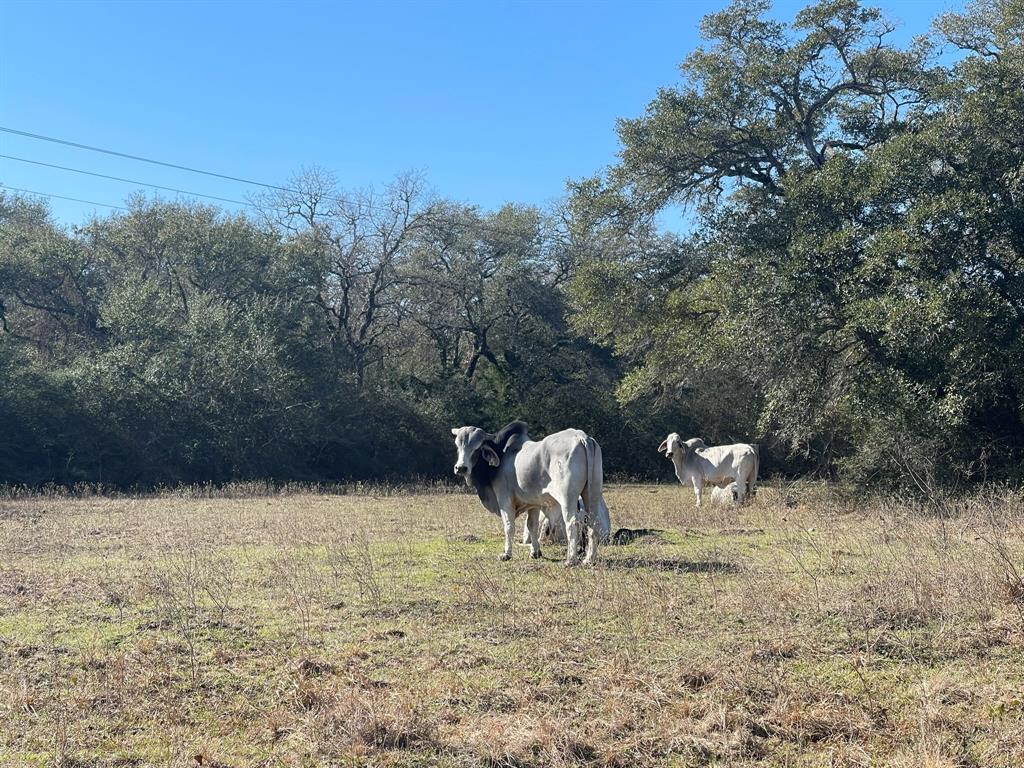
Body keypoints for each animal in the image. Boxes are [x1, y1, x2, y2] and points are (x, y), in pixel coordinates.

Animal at [454, 421, 610, 565]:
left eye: (476, 448)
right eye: (458, 446)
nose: (461, 467)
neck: (502, 455)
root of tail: (581, 436)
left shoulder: (504, 498)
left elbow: (509, 526)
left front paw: (506, 554)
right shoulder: (534, 504)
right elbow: (532, 526)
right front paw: (535, 552)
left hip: (568, 497)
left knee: (572, 523)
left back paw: (570, 560)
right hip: (592, 493)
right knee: (593, 523)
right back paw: (589, 559)